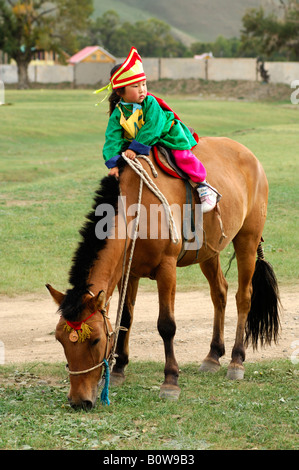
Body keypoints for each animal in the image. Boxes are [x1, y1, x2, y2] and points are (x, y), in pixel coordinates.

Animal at [47, 136, 282, 408]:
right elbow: (125, 319)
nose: (79, 400)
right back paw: (213, 355)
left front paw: (170, 381)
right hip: (208, 251)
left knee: (243, 297)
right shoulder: (129, 271)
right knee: (219, 293)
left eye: (95, 339)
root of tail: (249, 155)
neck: (135, 209)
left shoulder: (166, 268)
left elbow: (166, 325)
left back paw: (236, 360)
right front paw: (118, 370)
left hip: (248, 240)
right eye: (59, 339)